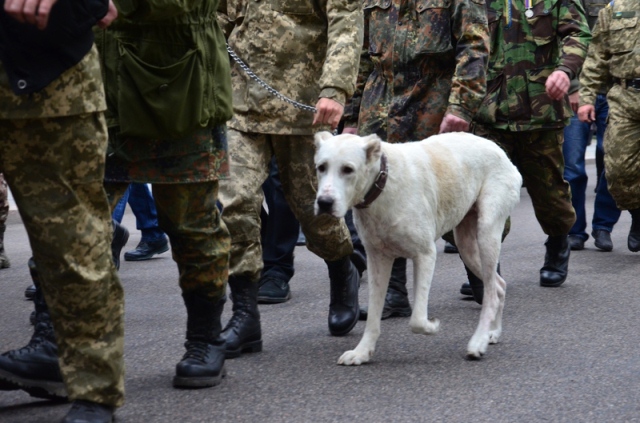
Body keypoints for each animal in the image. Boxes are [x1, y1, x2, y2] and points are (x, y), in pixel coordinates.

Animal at [312, 132, 524, 364]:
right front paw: (362, 351)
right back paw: (492, 333)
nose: (324, 202)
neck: (384, 182)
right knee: (499, 285)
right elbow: (374, 316)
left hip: (486, 233)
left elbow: (417, 320)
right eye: (321, 167)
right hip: (466, 246)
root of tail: (499, 150)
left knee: (491, 293)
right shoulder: (377, 260)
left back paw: (478, 342)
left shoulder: (425, 255)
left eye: (348, 169)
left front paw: (432, 327)